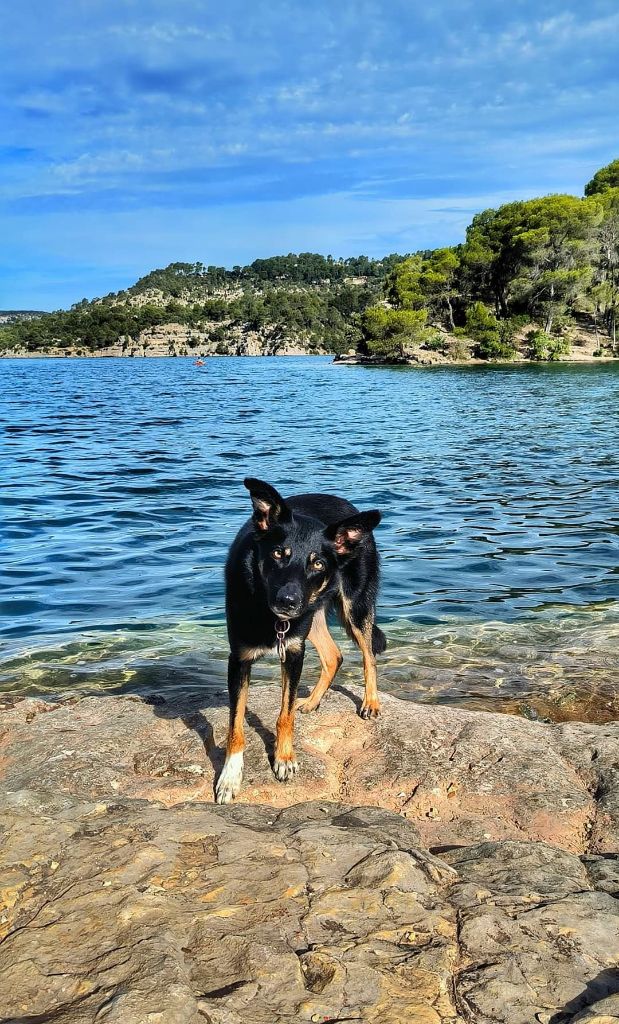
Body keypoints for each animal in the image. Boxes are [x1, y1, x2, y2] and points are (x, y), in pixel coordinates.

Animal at [215, 475, 385, 802]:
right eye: (278, 554)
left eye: (317, 563)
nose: (288, 601)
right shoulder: (239, 659)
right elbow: (236, 725)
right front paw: (230, 776)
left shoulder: (293, 652)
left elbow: (285, 714)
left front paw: (283, 759)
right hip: (312, 615)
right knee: (334, 655)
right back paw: (313, 701)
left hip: (353, 605)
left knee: (368, 655)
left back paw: (371, 702)